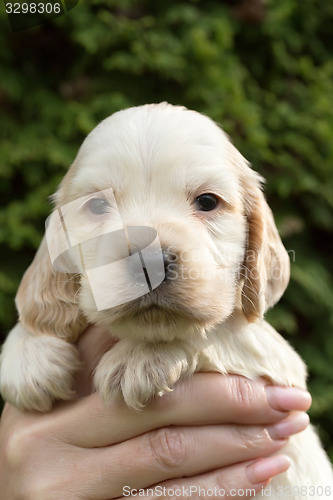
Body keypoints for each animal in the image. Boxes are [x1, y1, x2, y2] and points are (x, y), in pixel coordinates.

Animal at [1, 103, 330, 494]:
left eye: (207, 201)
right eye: (97, 206)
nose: (149, 262)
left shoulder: (281, 371)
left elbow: (221, 330)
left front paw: (140, 357)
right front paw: (28, 357)